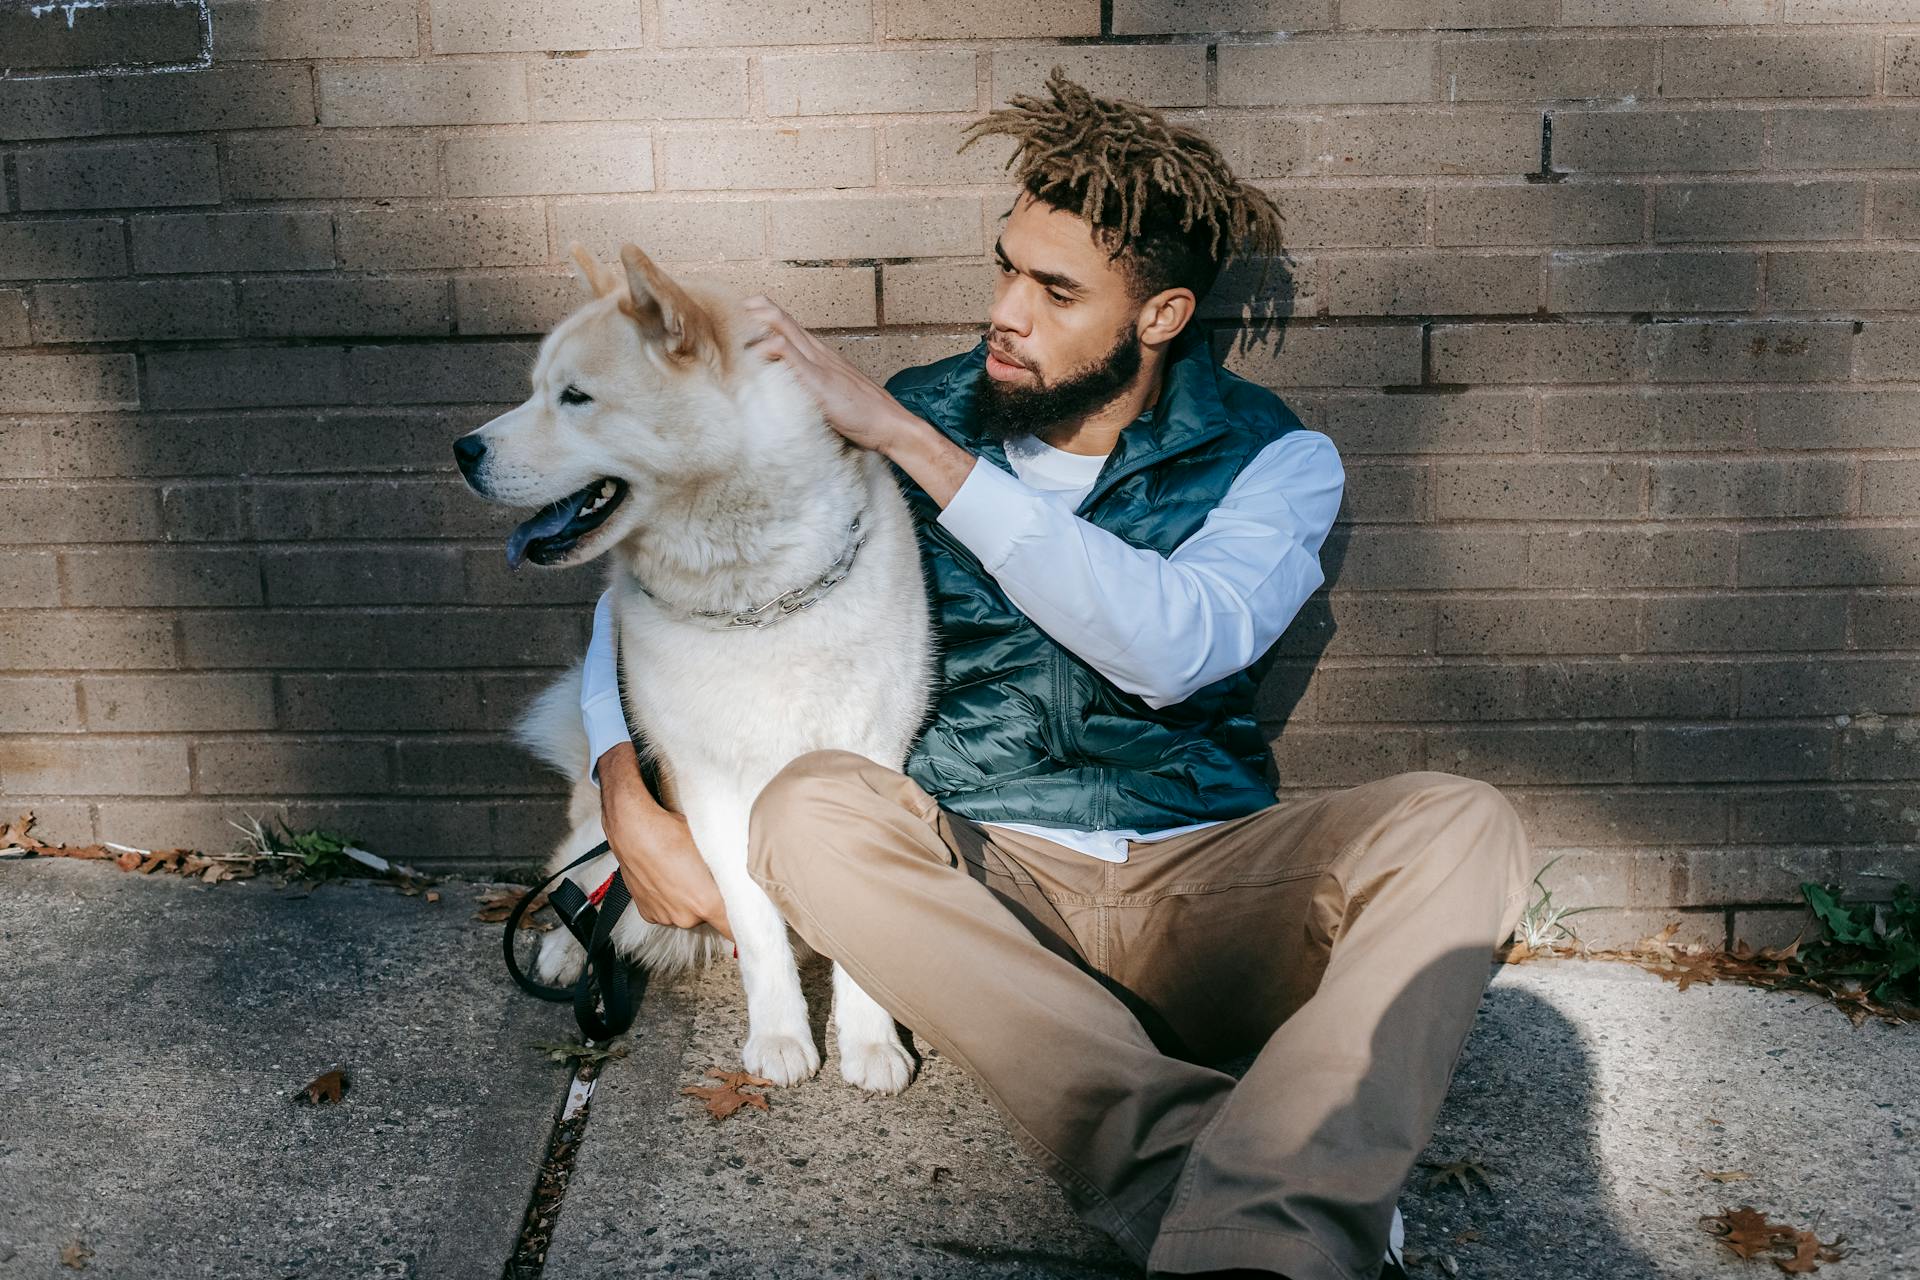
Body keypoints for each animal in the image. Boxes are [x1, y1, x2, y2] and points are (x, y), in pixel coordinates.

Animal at [449, 245, 929, 1097]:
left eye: (575, 397)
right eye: (537, 388)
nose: (462, 449)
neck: (756, 599)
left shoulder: (871, 760)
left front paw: (871, 1039)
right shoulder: (713, 789)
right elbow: (759, 930)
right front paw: (781, 1037)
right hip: (604, 831)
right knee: (578, 889)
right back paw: (568, 950)